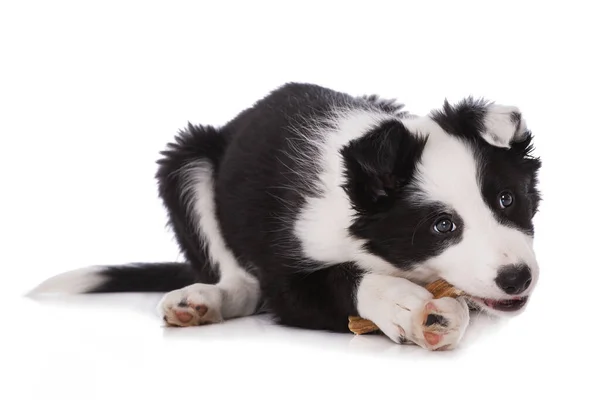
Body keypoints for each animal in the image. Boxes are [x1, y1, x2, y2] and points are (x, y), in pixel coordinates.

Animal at [30, 83, 540, 348]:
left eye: (507, 200)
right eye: (442, 225)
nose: (518, 278)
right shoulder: (287, 279)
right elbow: (341, 280)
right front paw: (402, 303)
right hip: (186, 159)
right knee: (240, 285)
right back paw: (203, 300)